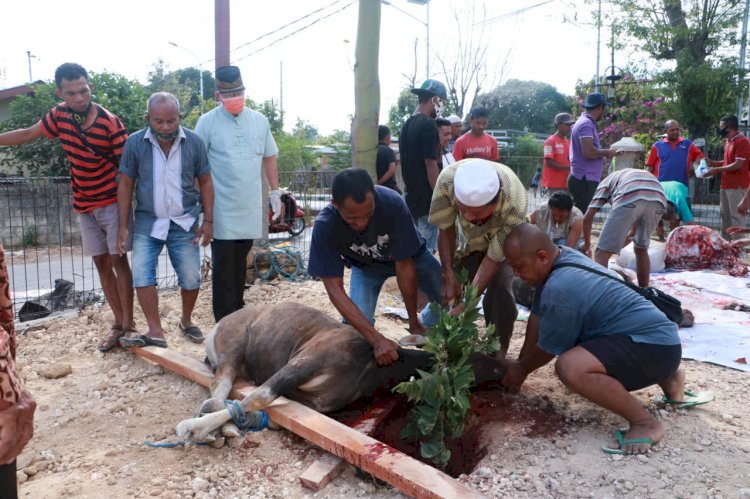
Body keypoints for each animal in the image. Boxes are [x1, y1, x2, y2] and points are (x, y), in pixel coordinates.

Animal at [176, 302, 506, 444]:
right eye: (475, 361)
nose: (504, 370)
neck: (368, 368)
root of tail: (218, 326)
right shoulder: (301, 363)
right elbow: (259, 397)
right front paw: (191, 428)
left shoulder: (314, 402)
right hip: (233, 349)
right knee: (220, 387)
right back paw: (202, 428)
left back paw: (223, 429)